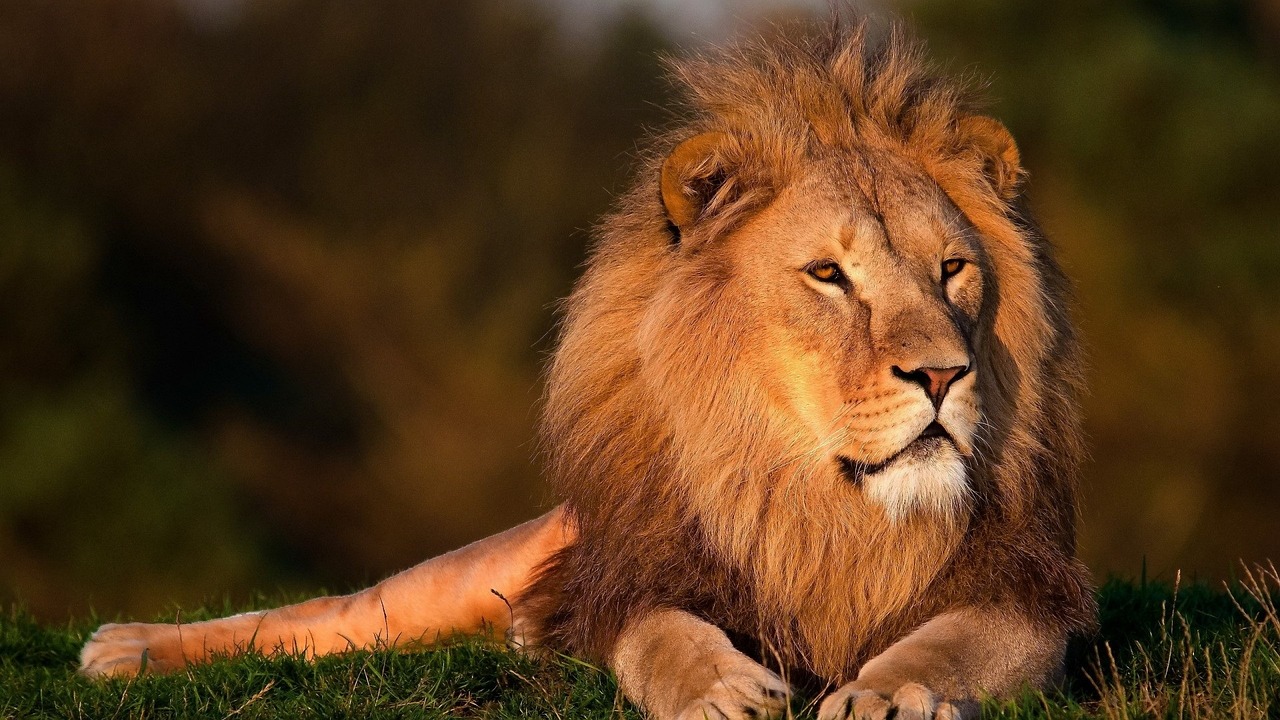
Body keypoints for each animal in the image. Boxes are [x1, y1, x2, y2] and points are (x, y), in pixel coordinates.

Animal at [82, 19, 1100, 712]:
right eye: (828, 275)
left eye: (952, 269)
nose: (942, 376)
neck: (817, 505)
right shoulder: (635, 581)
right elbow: (663, 638)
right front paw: (721, 690)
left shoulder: (1026, 594)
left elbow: (953, 644)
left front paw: (890, 692)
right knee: (327, 615)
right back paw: (123, 648)